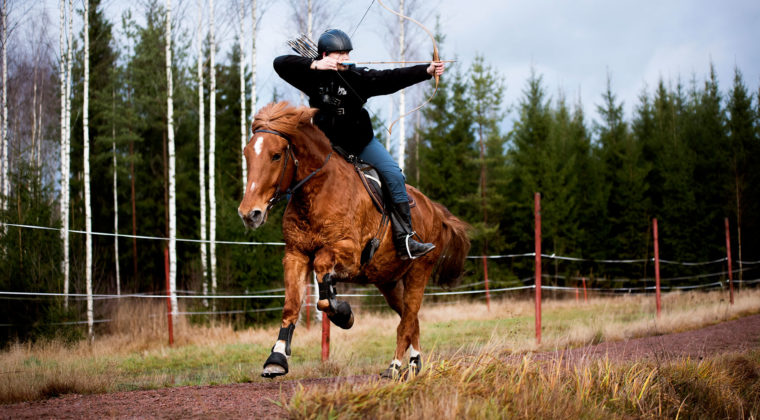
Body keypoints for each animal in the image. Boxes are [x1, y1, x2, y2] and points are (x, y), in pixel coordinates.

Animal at [239, 102, 470, 380]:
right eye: (247, 154)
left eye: (275, 155)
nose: (249, 213)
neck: (316, 192)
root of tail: (433, 209)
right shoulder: (295, 254)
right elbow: (292, 305)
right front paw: (277, 358)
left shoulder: (350, 254)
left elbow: (323, 273)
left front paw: (343, 313)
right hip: (388, 281)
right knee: (410, 317)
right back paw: (414, 364)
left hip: (419, 271)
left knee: (407, 320)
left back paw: (395, 366)